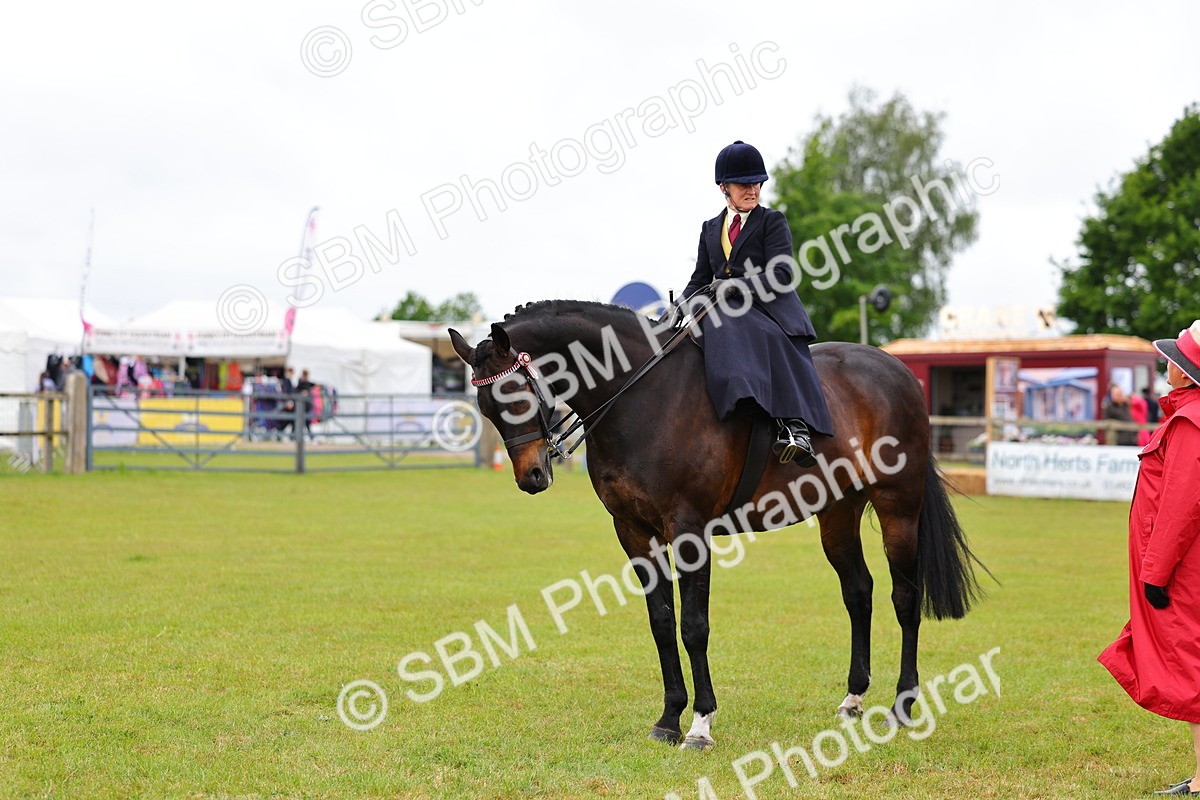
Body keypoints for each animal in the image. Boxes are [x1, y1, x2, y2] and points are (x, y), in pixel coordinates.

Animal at [449, 299, 983, 750]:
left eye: (516, 394)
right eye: (486, 407)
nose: (532, 476)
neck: (642, 397)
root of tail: (897, 371)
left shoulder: (689, 530)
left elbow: (694, 626)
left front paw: (700, 725)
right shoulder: (632, 531)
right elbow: (662, 623)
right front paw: (669, 719)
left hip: (899, 507)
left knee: (905, 597)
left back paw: (903, 705)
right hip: (838, 512)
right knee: (859, 592)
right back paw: (853, 699)